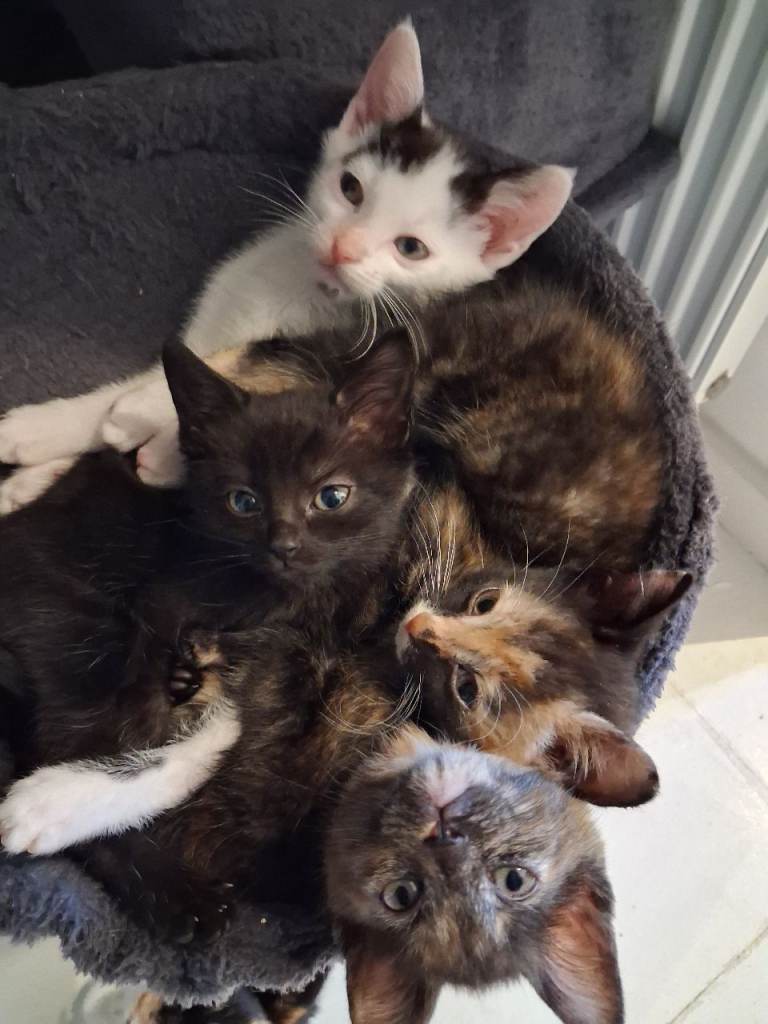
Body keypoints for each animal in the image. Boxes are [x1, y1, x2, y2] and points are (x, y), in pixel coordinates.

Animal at [0, 18, 572, 506]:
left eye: (410, 249)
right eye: (350, 189)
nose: (344, 247)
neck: (300, 289)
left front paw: (147, 432)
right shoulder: (213, 323)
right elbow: (167, 370)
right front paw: (43, 434)